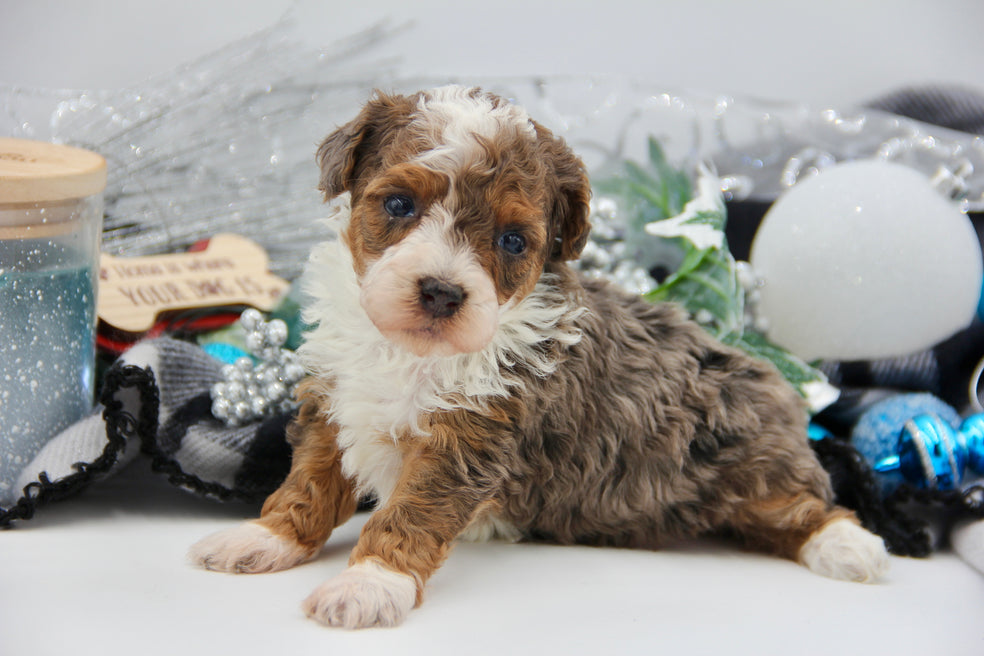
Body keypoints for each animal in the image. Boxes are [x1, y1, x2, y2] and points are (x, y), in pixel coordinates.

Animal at [192, 84, 892, 628]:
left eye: (511, 240)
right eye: (398, 204)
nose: (441, 291)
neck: (412, 352)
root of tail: (768, 375)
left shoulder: (468, 439)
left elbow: (409, 514)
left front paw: (369, 584)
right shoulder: (335, 404)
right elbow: (306, 485)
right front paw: (264, 537)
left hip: (756, 461)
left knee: (805, 507)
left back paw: (850, 548)